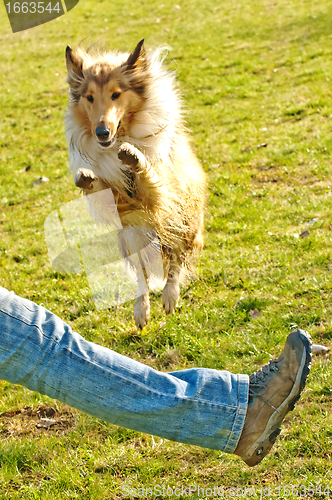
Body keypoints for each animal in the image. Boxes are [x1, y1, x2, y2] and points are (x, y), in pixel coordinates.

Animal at [64, 39, 208, 328]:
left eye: (116, 94)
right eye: (89, 97)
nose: (102, 132)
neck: (120, 137)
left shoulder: (161, 194)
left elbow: (149, 175)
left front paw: (135, 157)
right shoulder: (120, 204)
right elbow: (97, 185)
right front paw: (86, 177)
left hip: (182, 222)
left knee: (176, 260)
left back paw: (170, 296)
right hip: (131, 236)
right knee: (143, 275)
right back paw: (141, 309)